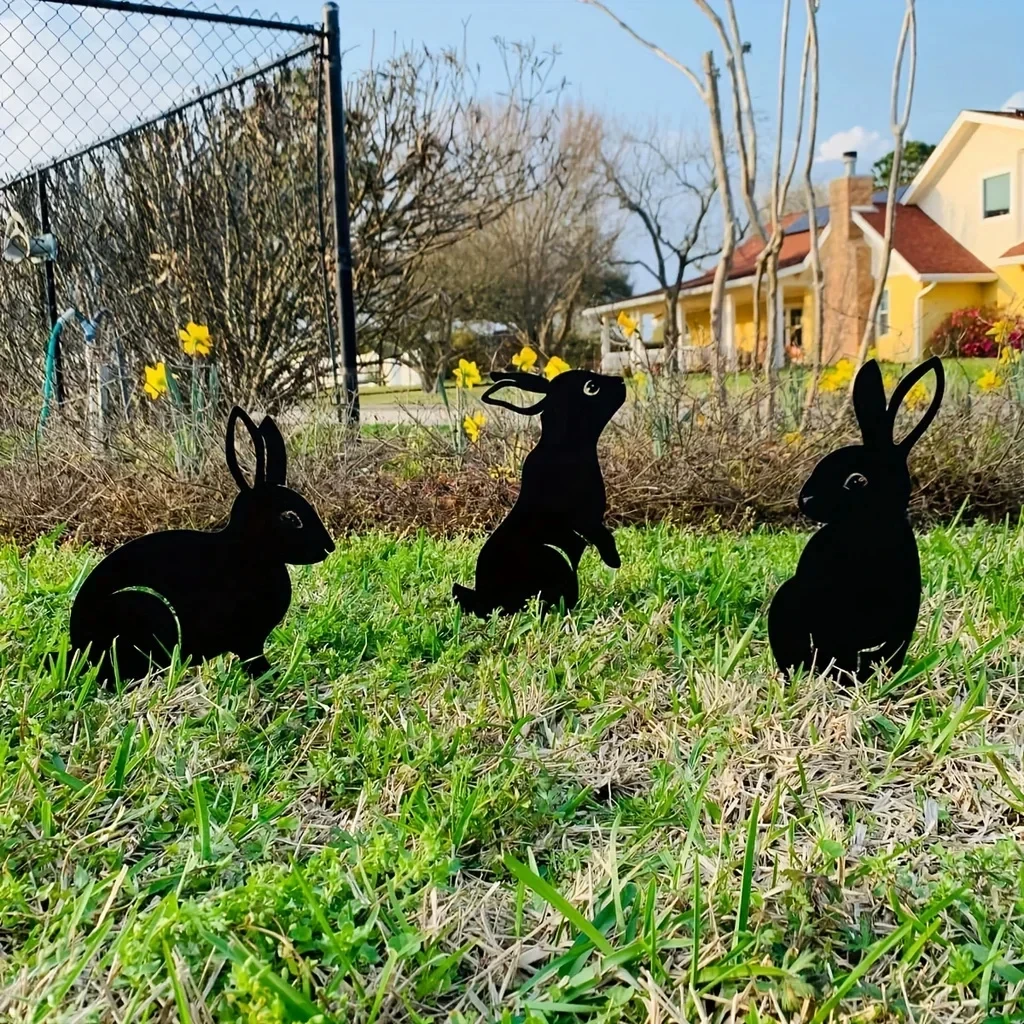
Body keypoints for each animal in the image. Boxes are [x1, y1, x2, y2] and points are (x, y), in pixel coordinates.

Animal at [69, 407, 335, 685]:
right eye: (291, 518)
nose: (329, 548)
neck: (249, 550)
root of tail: (78, 646)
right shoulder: (247, 641)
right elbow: (254, 661)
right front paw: (270, 679)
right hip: (146, 610)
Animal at [453, 368, 626, 616]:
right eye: (591, 387)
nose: (621, 381)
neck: (566, 448)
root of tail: (484, 599)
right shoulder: (582, 519)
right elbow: (601, 535)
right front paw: (614, 561)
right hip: (553, 560)